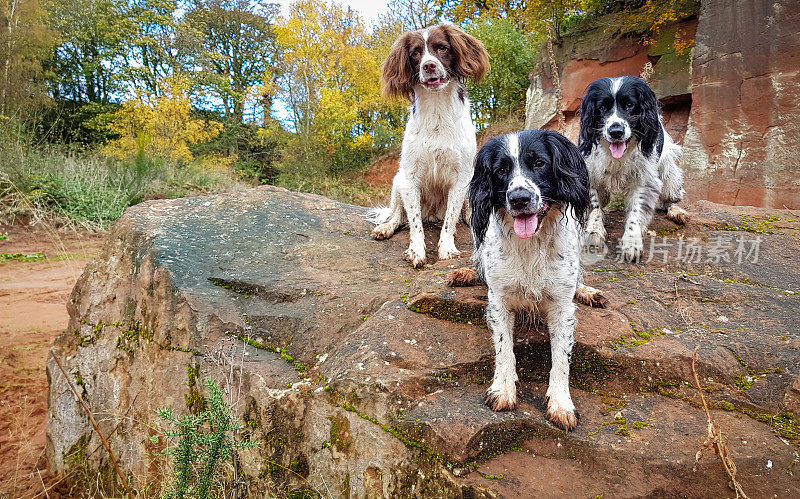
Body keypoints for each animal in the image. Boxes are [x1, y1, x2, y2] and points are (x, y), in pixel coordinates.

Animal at [368, 23, 490, 268]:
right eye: (415, 53)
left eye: (442, 48)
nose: (429, 65)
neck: (437, 111)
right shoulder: (410, 176)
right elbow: (414, 222)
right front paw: (416, 250)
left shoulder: (462, 176)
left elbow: (451, 219)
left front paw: (446, 248)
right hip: (398, 180)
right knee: (398, 215)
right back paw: (385, 228)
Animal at [466, 131, 604, 432]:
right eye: (501, 170)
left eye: (539, 163)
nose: (519, 198)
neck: (530, 244)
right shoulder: (499, 301)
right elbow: (504, 347)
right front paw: (503, 388)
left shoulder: (562, 306)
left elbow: (561, 357)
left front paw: (561, 403)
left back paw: (588, 291)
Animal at [580, 76, 692, 264]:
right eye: (602, 107)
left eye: (629, 105)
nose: (616, 131)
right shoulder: (590, 171)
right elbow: (594, 204)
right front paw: (594, 230)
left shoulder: (644, 178)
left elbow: (636, 210)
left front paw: (632, 243)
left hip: (668, 170)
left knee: (670, 195)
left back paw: (676, 211)